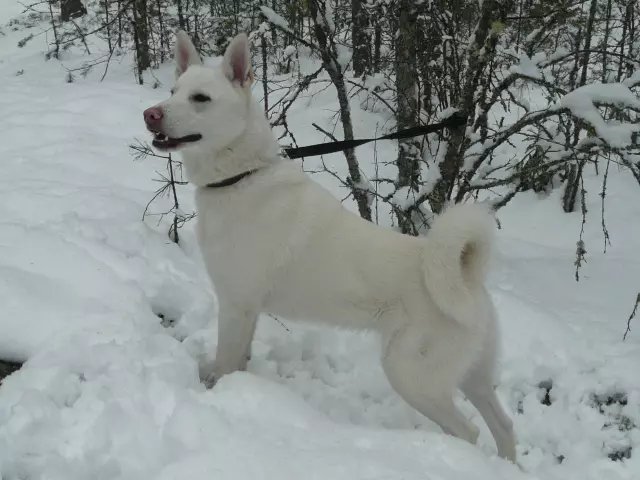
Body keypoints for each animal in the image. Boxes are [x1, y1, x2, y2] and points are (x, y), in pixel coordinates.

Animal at [142, 31, 516, 464]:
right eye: (173, 92)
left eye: (200, 98)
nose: (150, 114)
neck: (242, 176)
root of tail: (465, 276)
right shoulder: (248, 311)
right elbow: (240, 360)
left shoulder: (236, 306)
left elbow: (227, 362)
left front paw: (220, 393)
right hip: (472, 377)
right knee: (504, 426)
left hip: (411, 375)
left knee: (468, 431)